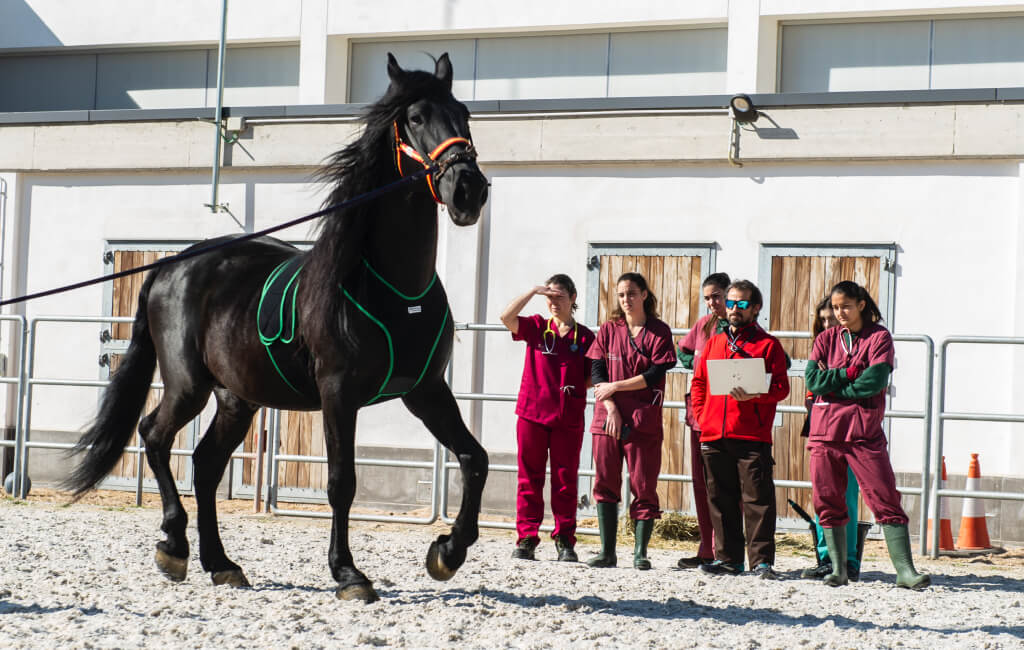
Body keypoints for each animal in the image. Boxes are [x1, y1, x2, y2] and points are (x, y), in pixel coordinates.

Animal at [66, 53, 489, 601]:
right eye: (415, 118)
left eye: (464, 113)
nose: (468, 190)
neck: (394, 289)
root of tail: (172, 265)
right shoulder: (338, 394)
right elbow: (341, 483)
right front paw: (348, 573)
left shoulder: (426, 391)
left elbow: (474, 457)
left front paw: (447, 552)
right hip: (188, 386)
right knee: (155, 436)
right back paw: (174, 547)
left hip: (236, 399)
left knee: (205, 465)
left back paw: (221, 563)